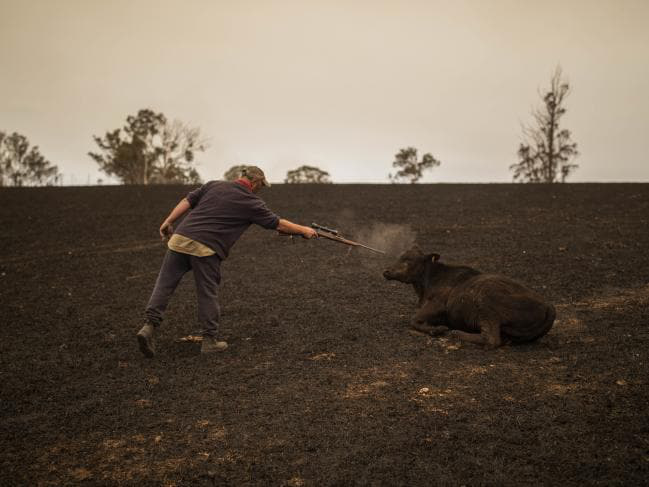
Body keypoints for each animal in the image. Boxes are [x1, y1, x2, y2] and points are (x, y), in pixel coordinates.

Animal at [382, 246, 556, 348]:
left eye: (409, 260)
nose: (386, 271)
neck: (428, 281)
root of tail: (549, 306)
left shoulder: (437, 305)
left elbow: (413, 321)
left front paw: (437, 330)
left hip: (486, 303)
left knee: (491, 339)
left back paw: (456, 333)